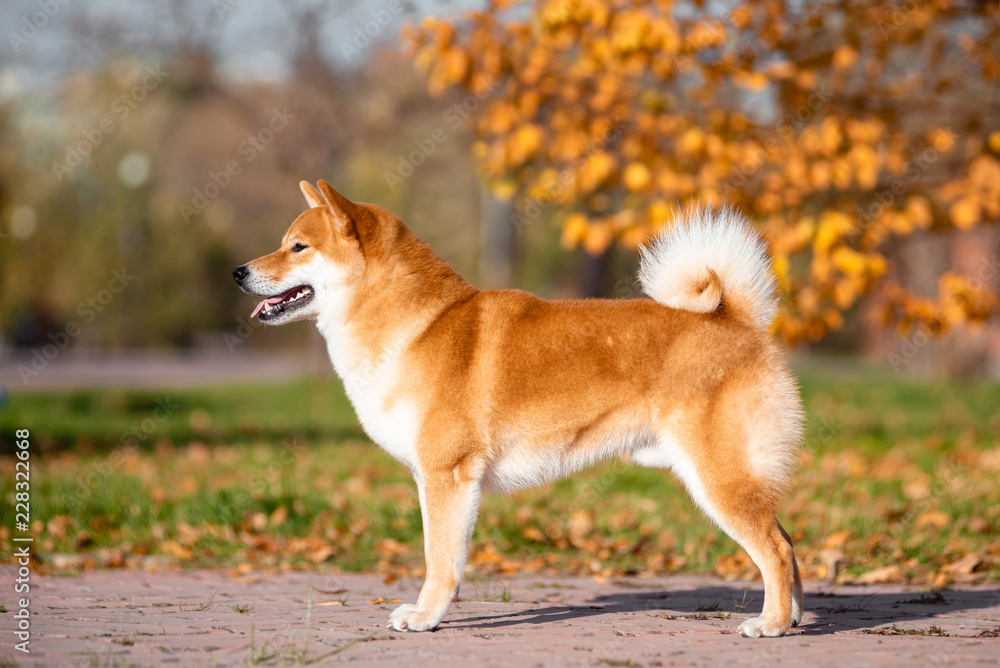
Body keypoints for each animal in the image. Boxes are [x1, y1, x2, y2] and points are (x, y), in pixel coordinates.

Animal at [232, 181, 804, 636]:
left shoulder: (446, 476)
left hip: (718, 479)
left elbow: (440, 562)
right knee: (787, 542)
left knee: (774, 549)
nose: (238, 271)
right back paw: (793, 616)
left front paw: (424, 617)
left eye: (298, 247)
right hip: (734, 477)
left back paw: (771, 625)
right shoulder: (440, 480)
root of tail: (738, 320)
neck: (416, 326)